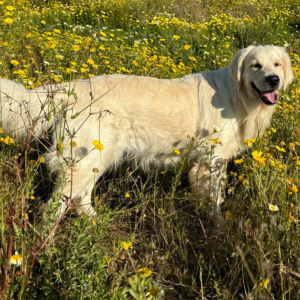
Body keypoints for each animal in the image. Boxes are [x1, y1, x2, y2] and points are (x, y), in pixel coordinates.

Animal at [0, 45, 294, 226]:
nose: (273, 80)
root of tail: (75, 87)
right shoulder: (212, 160)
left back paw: (94, 222)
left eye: (277, 64)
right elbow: (215, 199)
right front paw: (220, 227)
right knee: (56, 206)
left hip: (96, 158)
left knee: (81, 198)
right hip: (88, 158)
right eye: (255, 65)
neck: (239, 95)